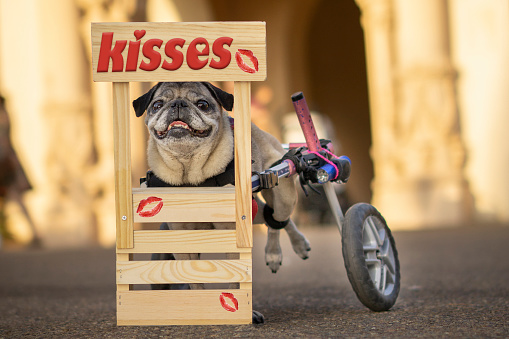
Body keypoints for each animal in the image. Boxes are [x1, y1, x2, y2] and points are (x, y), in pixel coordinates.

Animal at [133, 81, 310, 324]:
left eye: (203, 104)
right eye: (157, 105)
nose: (178, 104)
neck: (190, 172)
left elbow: (236, 278)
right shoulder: (182, 240)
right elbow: (193, 278)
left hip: (281, 192)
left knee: (279, 219)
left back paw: (279, 252)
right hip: (254, 212)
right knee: (269, 216)